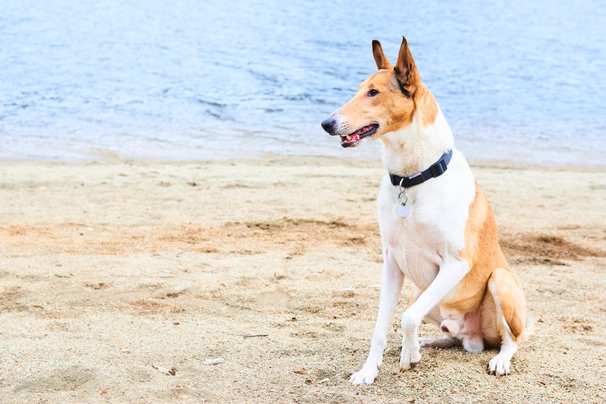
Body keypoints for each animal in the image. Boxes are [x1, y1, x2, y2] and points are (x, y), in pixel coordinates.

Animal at [324, 38, 532, 386]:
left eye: (373, 92)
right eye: (359, 89)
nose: (326, 123)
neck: (412, 179)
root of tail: (475, 337)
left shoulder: (455, 264)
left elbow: (407, 318)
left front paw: (409, 356)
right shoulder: (392, 263)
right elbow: (381, 327)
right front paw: (369, 371)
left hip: (500, 281)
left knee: (510, 339)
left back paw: (498, 359)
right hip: (417, 290)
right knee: (453, 337)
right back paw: (429, 341)